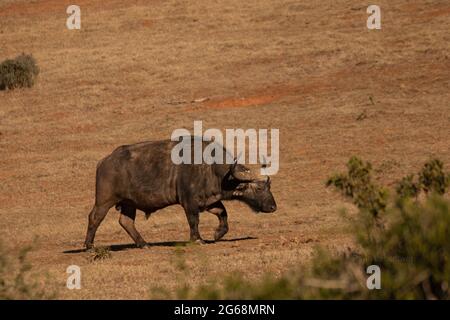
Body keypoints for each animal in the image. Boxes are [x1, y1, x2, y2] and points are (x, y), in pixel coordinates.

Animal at [82, 138, 276, 250]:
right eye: (259, 188)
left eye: (269, 186)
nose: (273, 207)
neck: (210, 168)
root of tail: (104, 162)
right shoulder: (189, 203)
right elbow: (193, 221)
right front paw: (197, 239)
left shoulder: (210, 201)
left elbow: (223, 214)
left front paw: (217, 234)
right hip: (104, 200)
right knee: (94, 217)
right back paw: (89, 246)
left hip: (129, 203)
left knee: (126, 221)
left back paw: (144, 244)